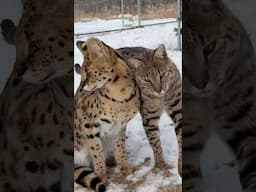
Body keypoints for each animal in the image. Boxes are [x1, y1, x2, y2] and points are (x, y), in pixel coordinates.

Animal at [74, 38, 140, 191]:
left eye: (89, 73)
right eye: (82, 73)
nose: (81, 88)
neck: (121, 96)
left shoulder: (121, 125)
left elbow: (120, 147)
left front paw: (123, 166)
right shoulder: (89, 124)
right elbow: (96, 149)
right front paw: (101, 175)